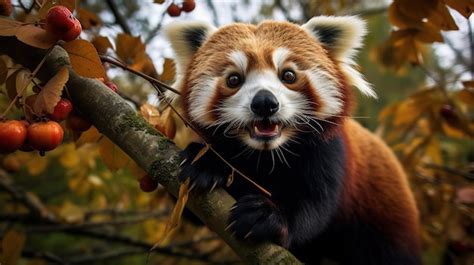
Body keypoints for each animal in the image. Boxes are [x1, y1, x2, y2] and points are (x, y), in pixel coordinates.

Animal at [164, 16, 422, 264]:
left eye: (288, 75)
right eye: (234, 79)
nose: (264, 102)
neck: (266, 156)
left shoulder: (329, 151)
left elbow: (315, 204)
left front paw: (267, 216)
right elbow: (191, 208)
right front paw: (204, 162)